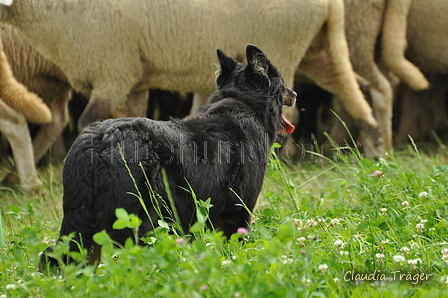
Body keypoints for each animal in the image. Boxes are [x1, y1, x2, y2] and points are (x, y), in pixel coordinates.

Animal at [0, 0, 384, 156]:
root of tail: (332, 4)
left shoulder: (113, 71)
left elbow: (86, 121)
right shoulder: (134, 79)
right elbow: (134, 116)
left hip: (283, 48)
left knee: (292, 115)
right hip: (319, 49)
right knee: (361, 91)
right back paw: (374, 149)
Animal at [40, 44, 296, 268]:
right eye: (283, 84)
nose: (295, 93)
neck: (243, 103)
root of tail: (99, 141)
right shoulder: (237, 214)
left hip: (82, 221)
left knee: (58, 257)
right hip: (136, 222)